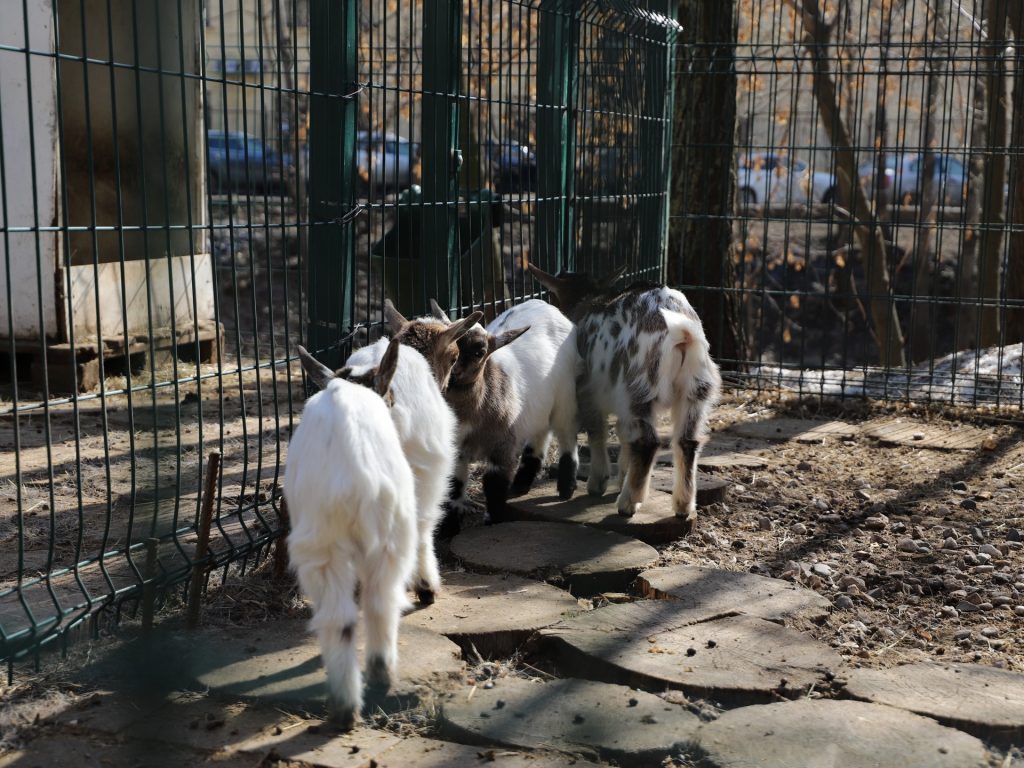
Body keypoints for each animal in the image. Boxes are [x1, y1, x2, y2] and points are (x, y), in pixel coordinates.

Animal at [286, 339, 416, 729]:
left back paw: (345, 705)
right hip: (393, 536)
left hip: (321, 546)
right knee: (380, 601)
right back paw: (379, 678)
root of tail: (360, 476)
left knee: (339, 618)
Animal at [429, 298, 580, 525]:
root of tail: (545, 303)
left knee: (567, 435)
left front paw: (494, 519)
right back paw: (521, 484)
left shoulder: (502, 445)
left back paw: (566, 488)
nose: (453, 374)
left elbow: (494, 484)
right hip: (538, 407)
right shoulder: (455, 447)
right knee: (540, 435)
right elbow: (453, 486)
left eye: (479, 352)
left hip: (566, 395)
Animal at [528, 264, 721, 532]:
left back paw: (628, 503)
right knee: (686, 442)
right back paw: (682, 506)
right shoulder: (621, 404)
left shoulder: (588, 393)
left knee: (648, 442)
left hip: (640, 385)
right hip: (695, 389)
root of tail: (684, 332)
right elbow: (622, 434)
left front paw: (598, 484)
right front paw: (621, 478)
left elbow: (597, 432)